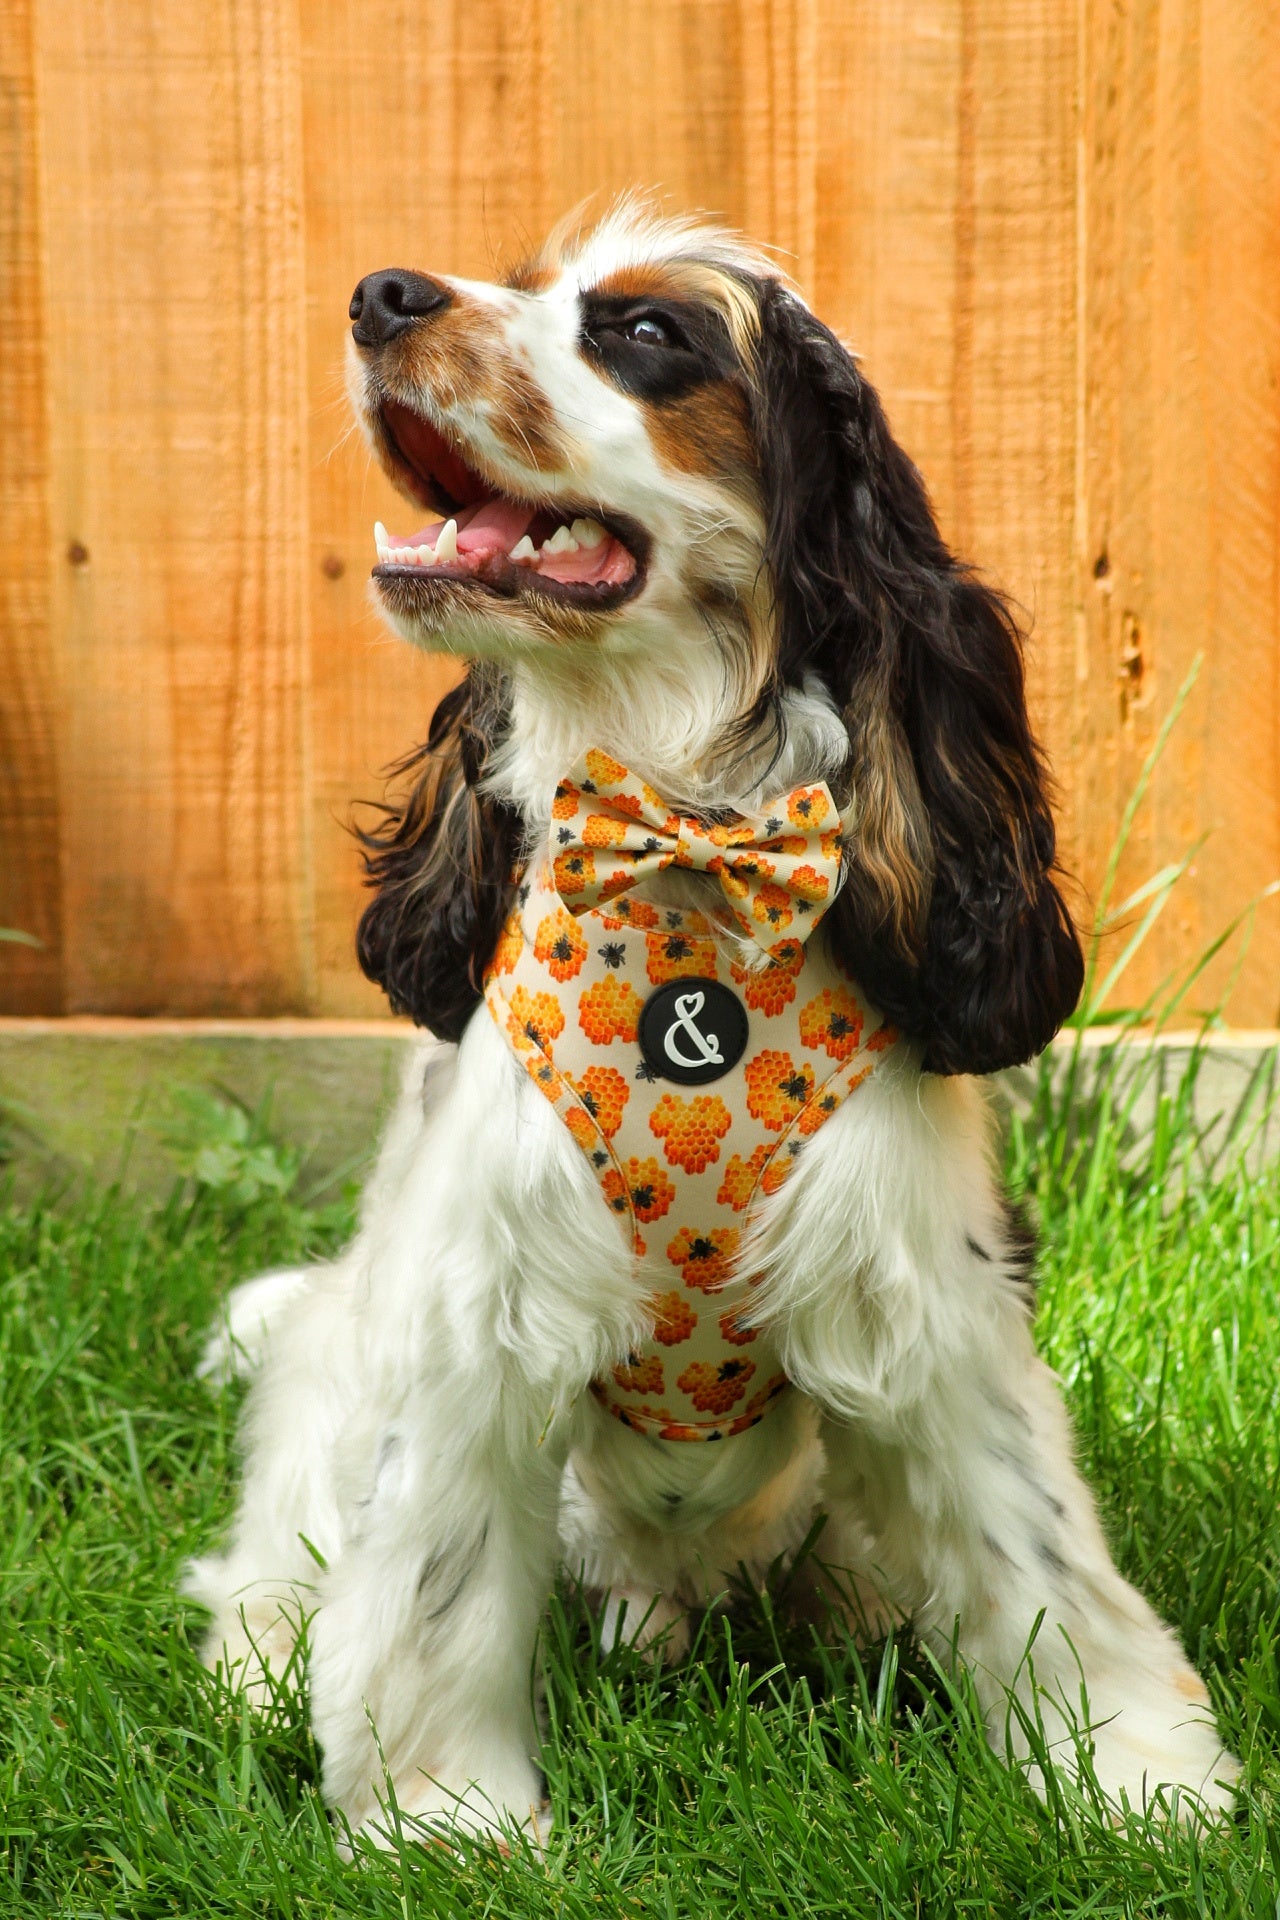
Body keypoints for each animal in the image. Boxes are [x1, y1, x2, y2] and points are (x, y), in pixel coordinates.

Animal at [185, 198, 1235, 1843]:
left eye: (643, 332)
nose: (381, 293)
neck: (680, 851)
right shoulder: (471, 1310)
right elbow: (431, 1589)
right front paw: (447, 1822)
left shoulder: (923, 1300)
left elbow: (1036, 1547)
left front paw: (1134, 1776)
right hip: (338, 1355)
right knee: (287, 1519)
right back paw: (263, 1656)